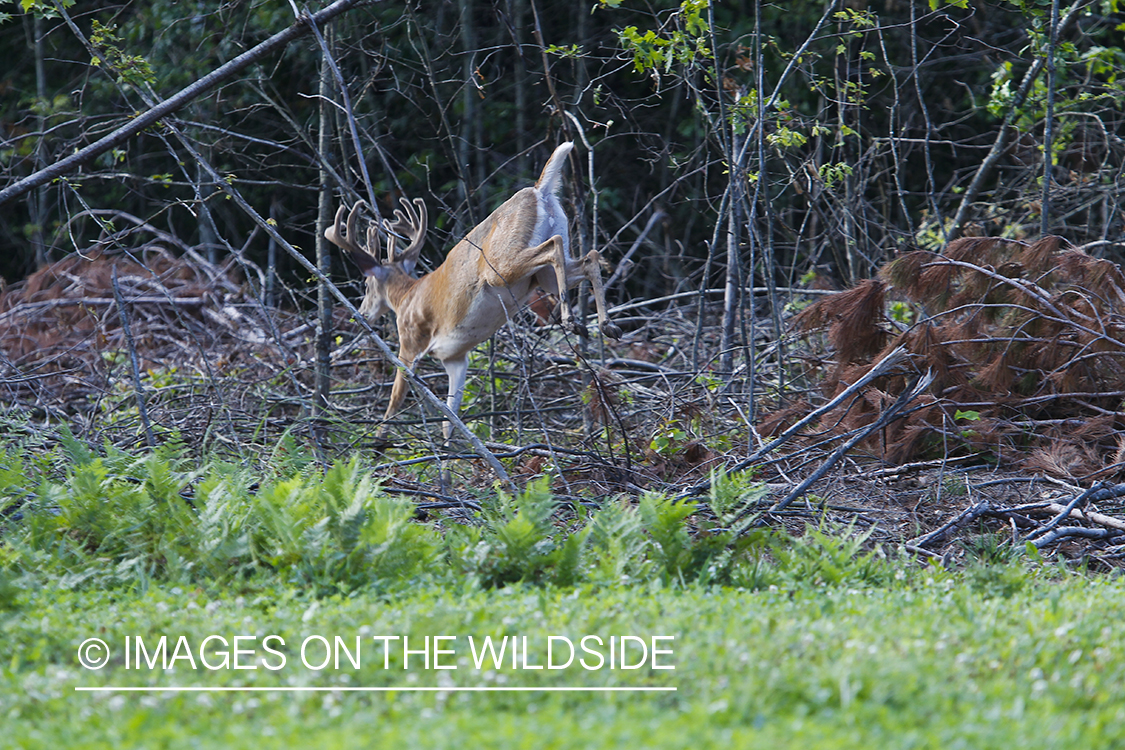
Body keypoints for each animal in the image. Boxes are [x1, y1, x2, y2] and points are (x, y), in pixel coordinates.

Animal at [326, 142, 625, 440]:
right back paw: (605, 325)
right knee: (589, 257)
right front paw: (452, 450)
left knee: (555, 244)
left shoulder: (410, 341)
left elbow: (395, 399)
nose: (362, 311)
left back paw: (571, 319)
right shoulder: (455, 358)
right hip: (542, 275)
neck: (405, 298)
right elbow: (450, 418)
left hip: (500, 266)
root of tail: (539, 190)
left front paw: (378, 441)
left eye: (367, 285)